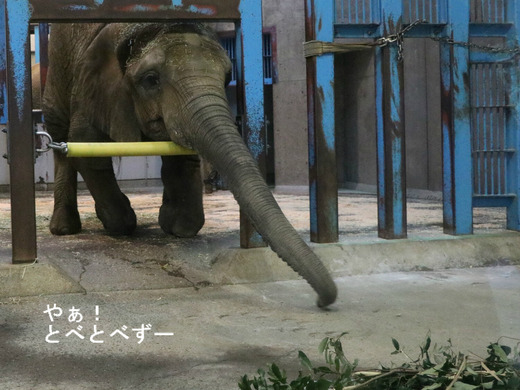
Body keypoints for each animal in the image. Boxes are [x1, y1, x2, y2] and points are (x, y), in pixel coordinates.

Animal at [43, 22, 338, 308]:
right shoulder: (94, 88)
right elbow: (85, 148)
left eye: (227, 77)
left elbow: (182, 158)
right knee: (59, 137)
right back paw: (64, 229)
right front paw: (119, 223)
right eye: (150, 80)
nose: (321, 300)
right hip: (58, 66)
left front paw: (177, 225)